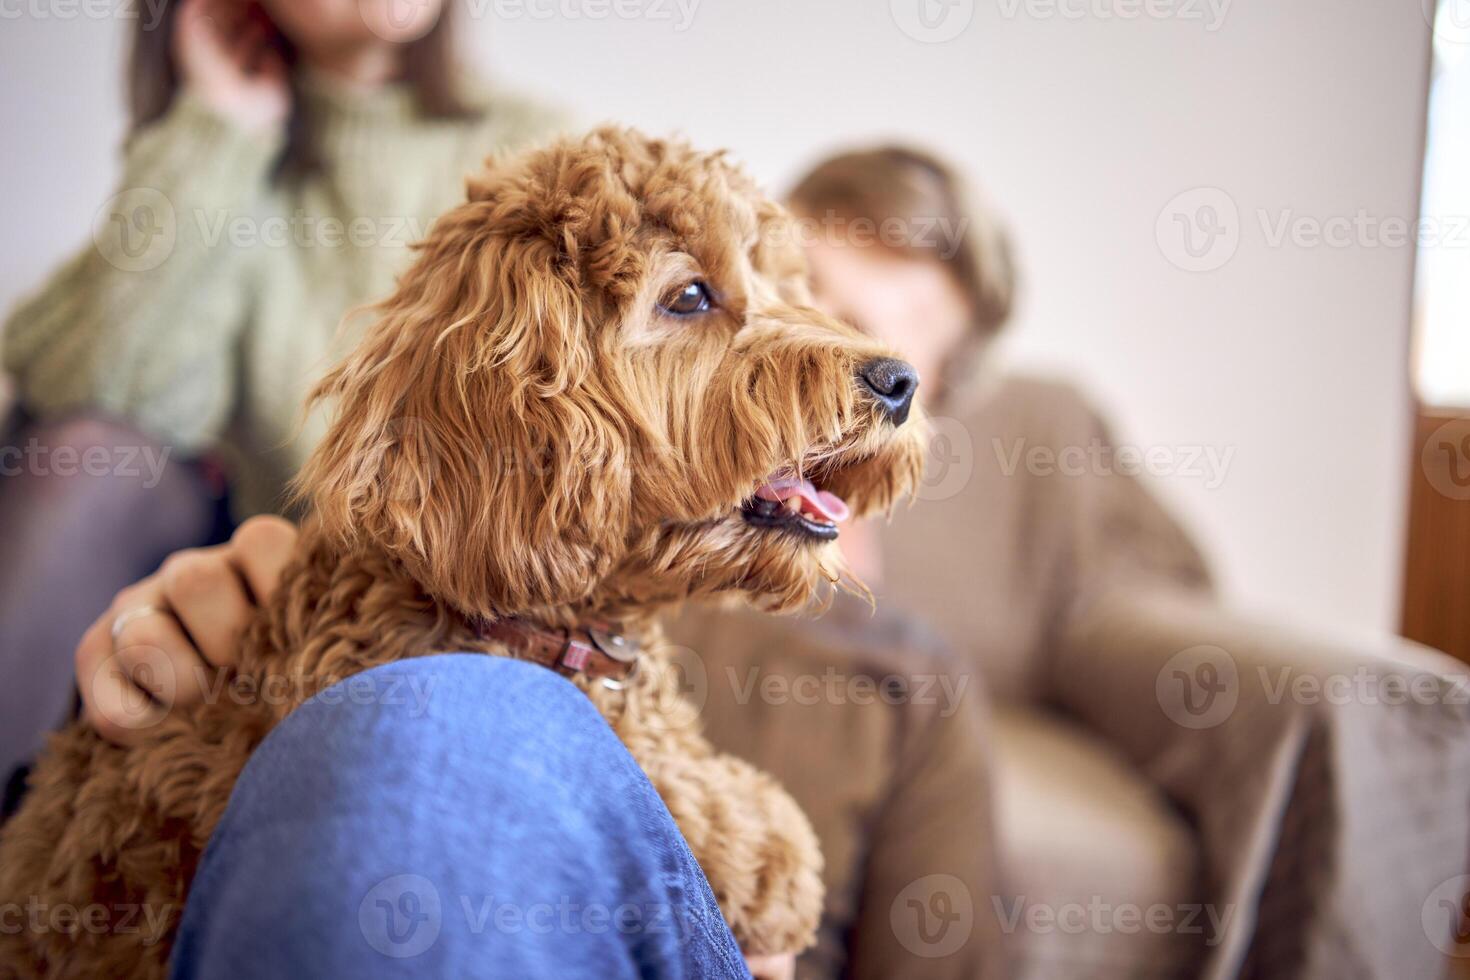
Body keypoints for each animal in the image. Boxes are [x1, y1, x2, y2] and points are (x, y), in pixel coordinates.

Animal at [0, 126, 917, 975]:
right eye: (689, 296)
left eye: (783, 283)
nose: (899, 380)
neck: (551, 623)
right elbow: (680, 791)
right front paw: (769, 842)